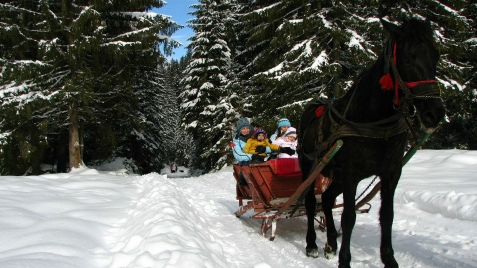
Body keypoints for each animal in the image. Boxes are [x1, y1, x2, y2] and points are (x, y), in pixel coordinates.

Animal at [298, 17, 446, 266]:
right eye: (407, 58)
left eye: (436, 55)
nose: (434, 114)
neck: (375, 121)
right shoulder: (351, 174)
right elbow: (349, 217)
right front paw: (345, 260)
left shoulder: (391, 173)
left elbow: (387, 216)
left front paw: (389, 259)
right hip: (310, 167)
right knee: (310, 203)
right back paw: (311, 245)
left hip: (335, 175)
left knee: (326, 200)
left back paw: (331, 243)